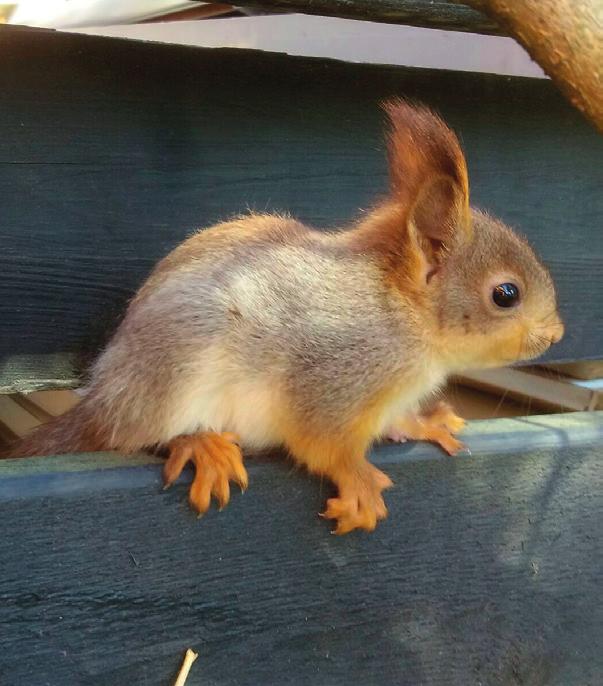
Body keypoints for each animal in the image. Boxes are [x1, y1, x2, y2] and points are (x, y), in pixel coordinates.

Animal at [2, 102, 564, 536]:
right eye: (506, 294)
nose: (556, 332)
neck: (403, 320)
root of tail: (103, 398)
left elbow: (394, 421)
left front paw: (423, 422)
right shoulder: (334, 377)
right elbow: (322, 440)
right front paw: (358, 479)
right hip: (173, 370)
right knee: (132, 434)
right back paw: (199, 443)